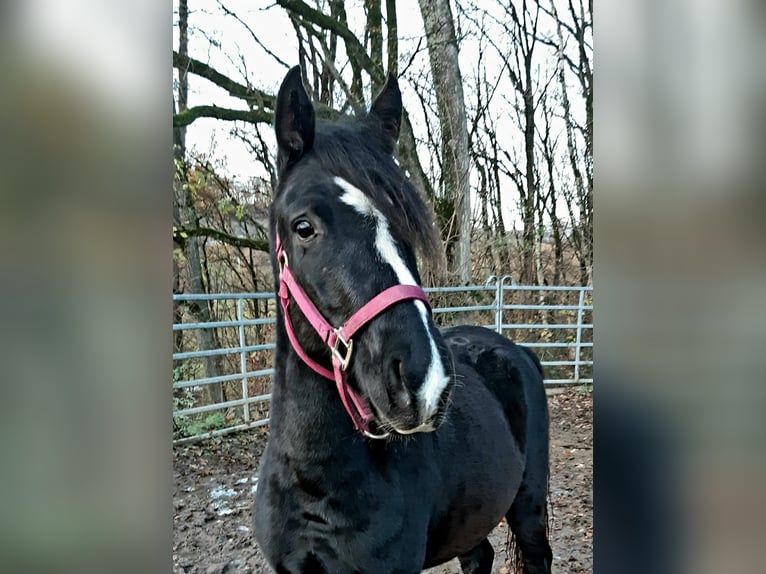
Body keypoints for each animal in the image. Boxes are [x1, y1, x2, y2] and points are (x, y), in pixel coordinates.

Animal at [252, 66, 552, 574]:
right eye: (303, 227)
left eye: (407, 222)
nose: (424, 381)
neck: (314, 481)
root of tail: (517, 351)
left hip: (528, 505)